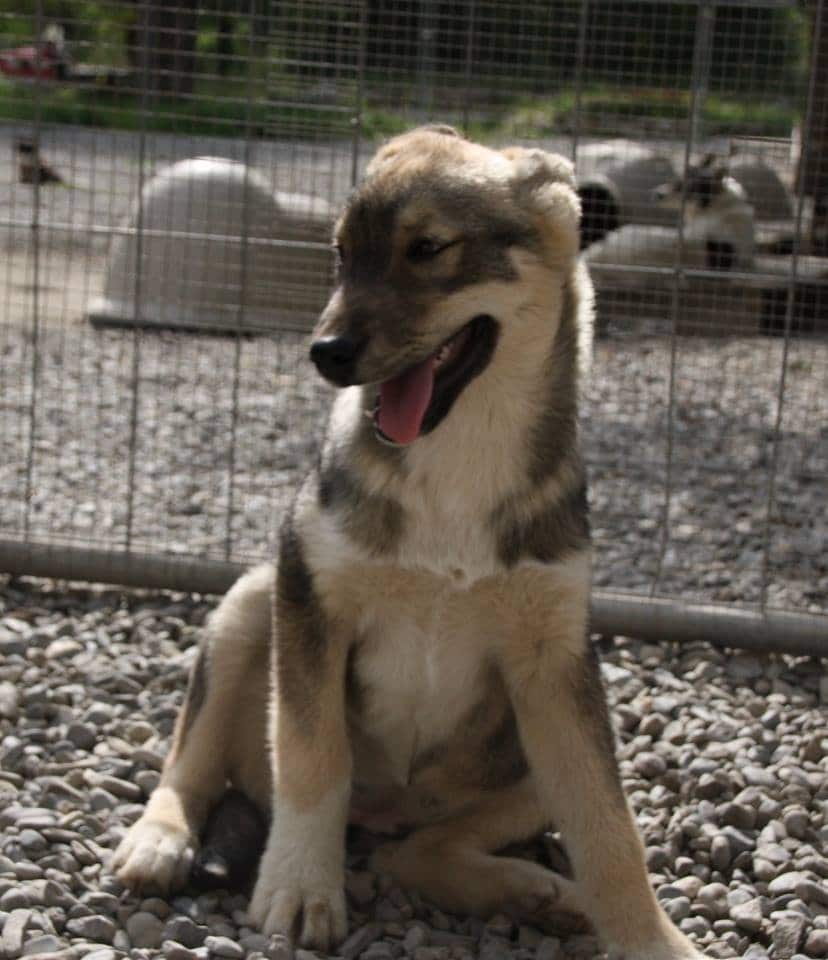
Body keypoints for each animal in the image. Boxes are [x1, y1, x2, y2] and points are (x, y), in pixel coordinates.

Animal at [113, 127, 700, 960]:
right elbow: (314, 759)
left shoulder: (557, 662)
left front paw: (653, 939)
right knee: (191, 761)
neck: (456, 461)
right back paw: (159, 839)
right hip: (249, 603)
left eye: (427, 248)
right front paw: (300, 888)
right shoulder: (311, 603)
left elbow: (608, 825)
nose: (325, 353)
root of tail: (389, 808)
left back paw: (536, 892)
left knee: (416, 853)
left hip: (523, 766)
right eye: (339, 255)